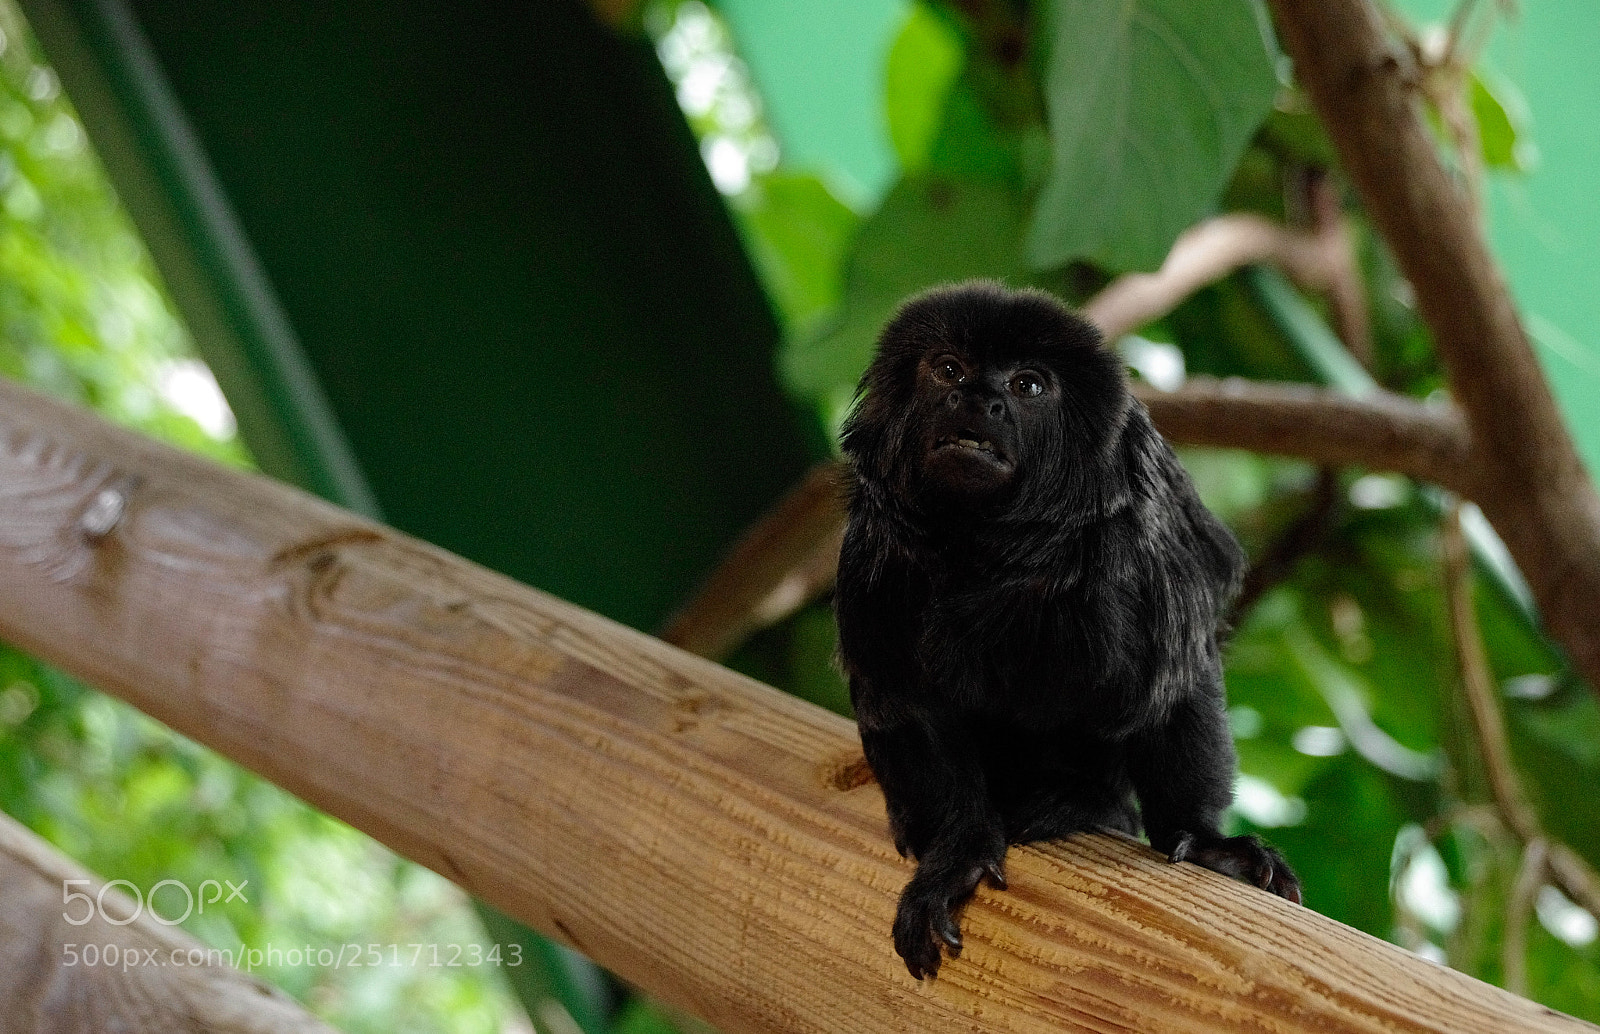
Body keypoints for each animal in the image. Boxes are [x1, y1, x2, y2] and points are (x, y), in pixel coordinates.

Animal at [834, 281, 1300, 980]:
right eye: (949, 370)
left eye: (1028, 385)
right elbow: (905, 703)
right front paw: (957, 854)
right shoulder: (877, 553)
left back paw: (1080, 801)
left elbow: (1173, 683)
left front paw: (1207, 842)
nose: (979, 399)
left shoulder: (1137, 537)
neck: (988, 548)